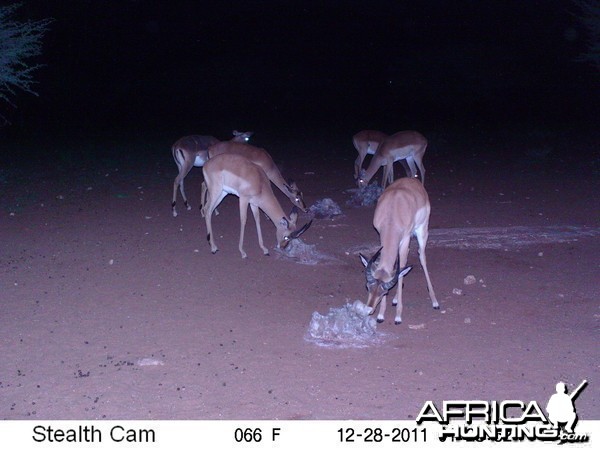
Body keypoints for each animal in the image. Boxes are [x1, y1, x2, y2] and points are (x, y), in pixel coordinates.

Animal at [358, 177, 438, 324]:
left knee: (421, 257)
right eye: (367, 287)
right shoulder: (381, 236)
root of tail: (413, 180)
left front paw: (398, 316)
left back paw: (435, 302)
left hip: (422, 231)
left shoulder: (405, 238)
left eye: (385, 292)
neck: (392, 212)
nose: (369, 310)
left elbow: (402, 267)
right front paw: (381, 315)